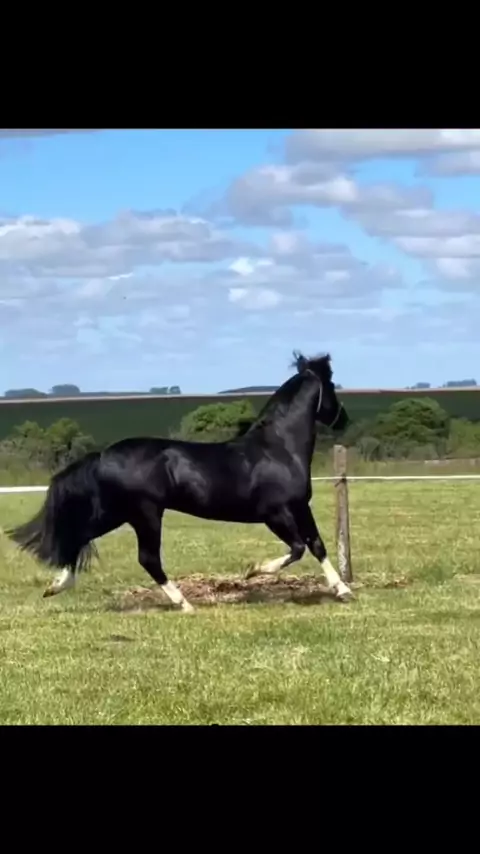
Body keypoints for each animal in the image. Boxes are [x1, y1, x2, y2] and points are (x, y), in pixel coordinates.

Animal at [6, 351, 353, 613]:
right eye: (332, 386)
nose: (344, 420)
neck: (278, 449)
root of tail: (103, 454)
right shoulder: (275, 513)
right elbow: (298, 548)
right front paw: (252, 571)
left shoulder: (300, 506)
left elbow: (316, 544)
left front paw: (343, 589)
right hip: (144, 513)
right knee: (147, 558)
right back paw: (184, 604)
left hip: (119, 512)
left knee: (81, 535)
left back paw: (56, 586)